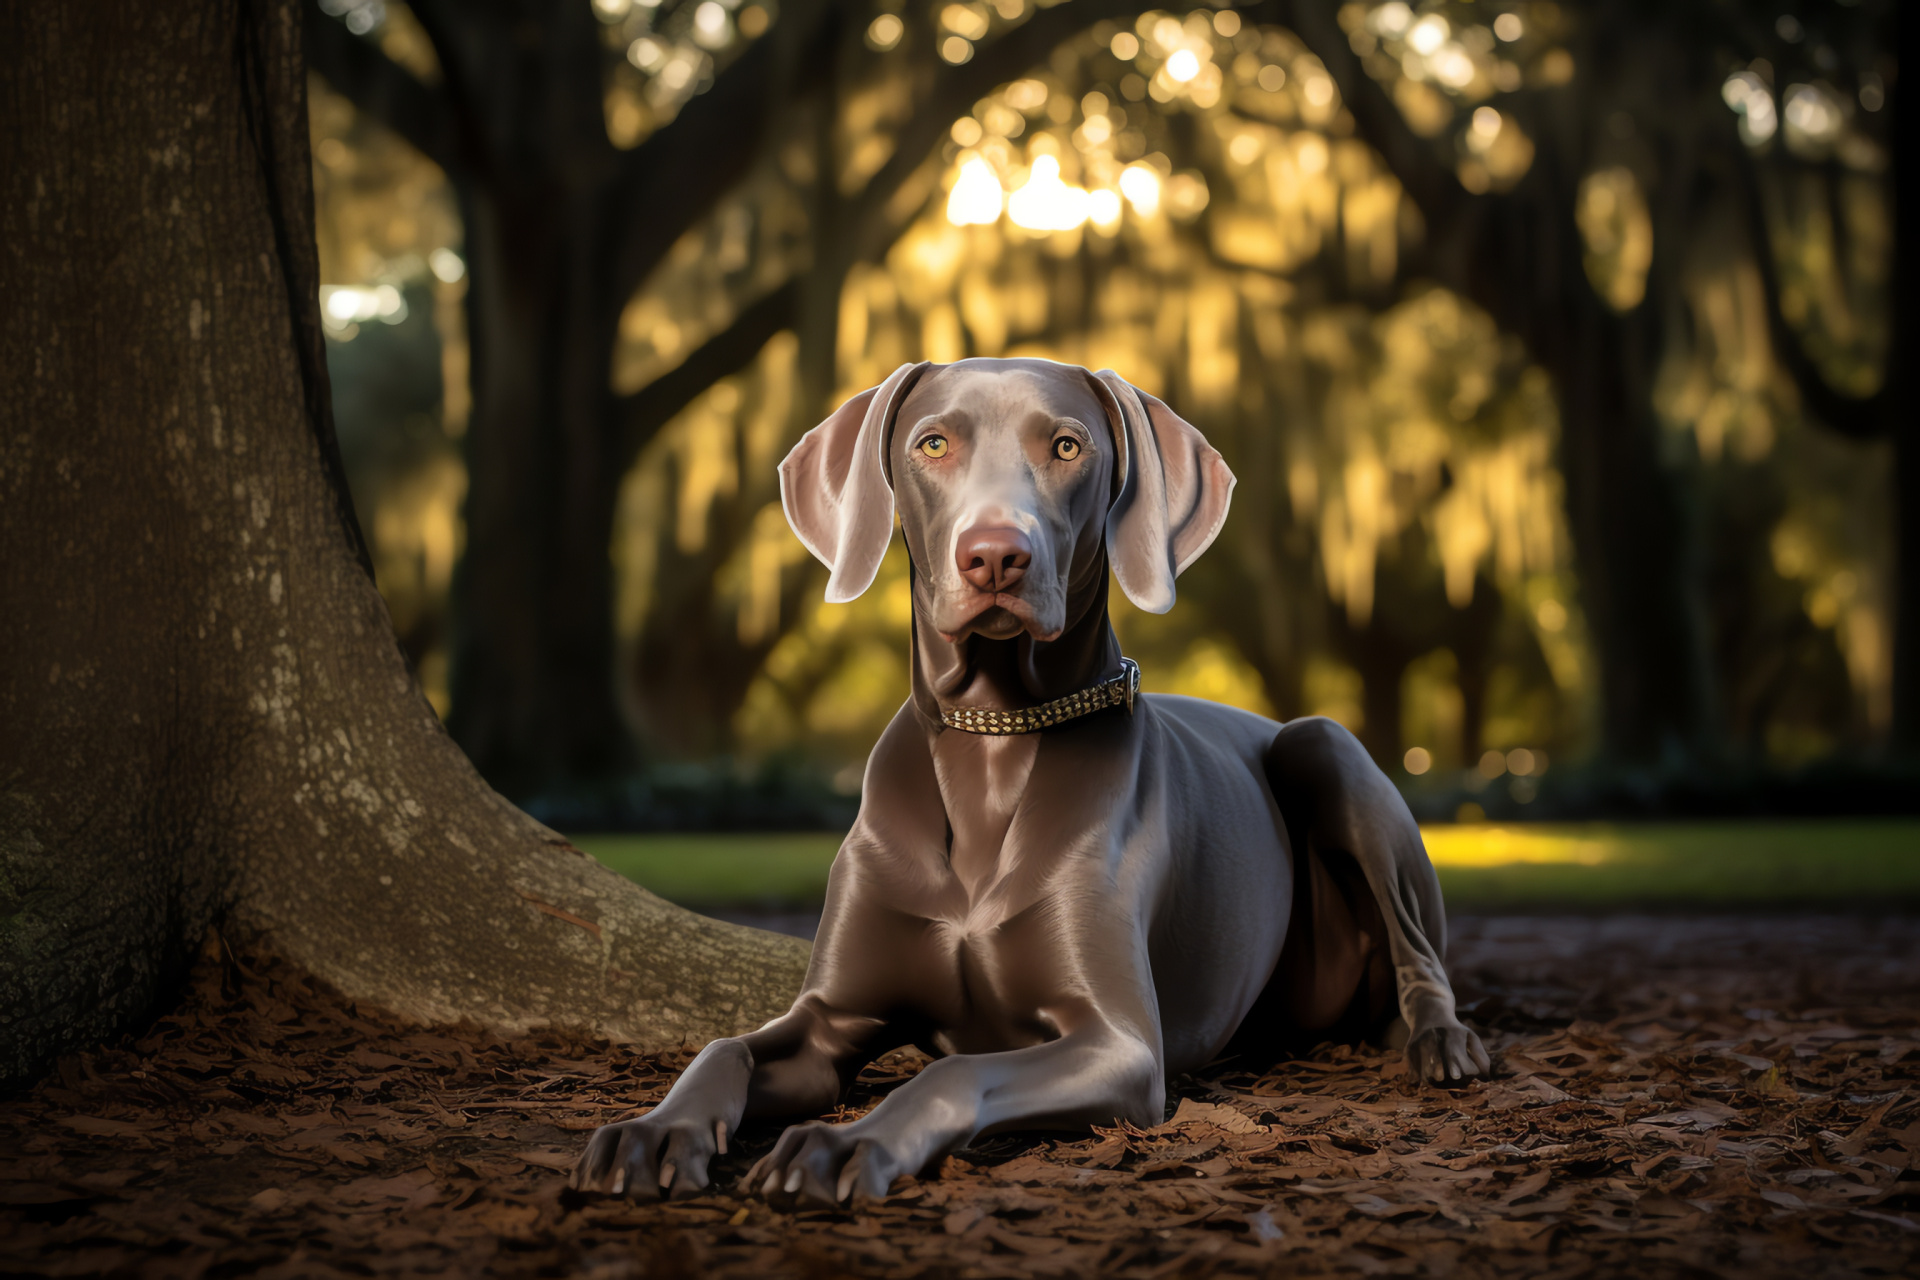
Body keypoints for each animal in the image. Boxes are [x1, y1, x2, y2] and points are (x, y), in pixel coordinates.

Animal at [576, 355, 1489, 1205]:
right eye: (932, 444)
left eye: (1067, 446)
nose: (994, 558)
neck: (995, 738)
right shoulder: (827, 1024)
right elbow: (722, 1045)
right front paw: (654, 1131)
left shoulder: (1117, 1043)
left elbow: (952, 1071)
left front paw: (843, 1143)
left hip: (1322, 745)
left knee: (1419, 956)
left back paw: (1441, 1043)